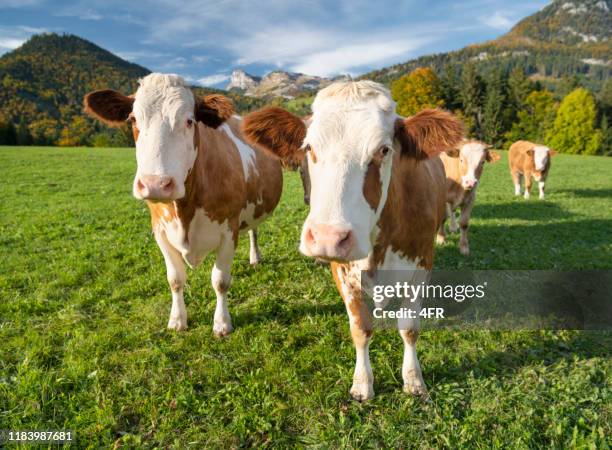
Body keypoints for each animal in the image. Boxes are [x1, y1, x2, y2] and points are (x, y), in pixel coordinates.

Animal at [83, 73, 282, 334]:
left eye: (189, 121)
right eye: (133, 119)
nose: (156, 184)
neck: (186, 210)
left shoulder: (229, 229)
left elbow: (220, 281)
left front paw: (222, 323)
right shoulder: (160, 231)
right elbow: (175, 279)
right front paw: (177, 320)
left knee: (253, 231)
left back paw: (255, 258)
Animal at [241, 81, 462, 400]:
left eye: (384, 149)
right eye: (309, 147)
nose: (327, 238)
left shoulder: (421, 265)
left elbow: (409, 328)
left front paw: (413, 380)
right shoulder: (343, 271)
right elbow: (360, 328)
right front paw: (362, 383)